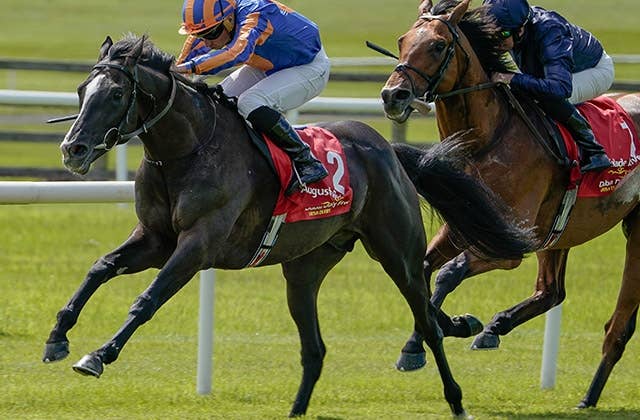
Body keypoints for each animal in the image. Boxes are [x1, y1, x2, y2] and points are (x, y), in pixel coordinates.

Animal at [40, 34, 535, 418]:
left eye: (115, 95)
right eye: (82, 90)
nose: (73, 149)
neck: (187, 149)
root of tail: (388, 151)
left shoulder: (198, 244)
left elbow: (147, 299)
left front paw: (98, 354)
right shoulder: (155, 239)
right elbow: (100, 268)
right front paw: (57, 337)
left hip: (399, 255)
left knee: (427, 324)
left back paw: (456, 398)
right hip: (304, 268)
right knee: (315, 348)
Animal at [379, 0, 640, 409]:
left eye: (438, 45)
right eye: (402, 40)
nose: (394, 95)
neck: (486, 140)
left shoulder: (508, 244)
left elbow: (448, 272)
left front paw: (431, 338)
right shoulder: (466, 224)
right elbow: (423, 270)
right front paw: (442, 331)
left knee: (618, 325)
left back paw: (588, 396)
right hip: (558, 234)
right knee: (551, 291)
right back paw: (496, 327)